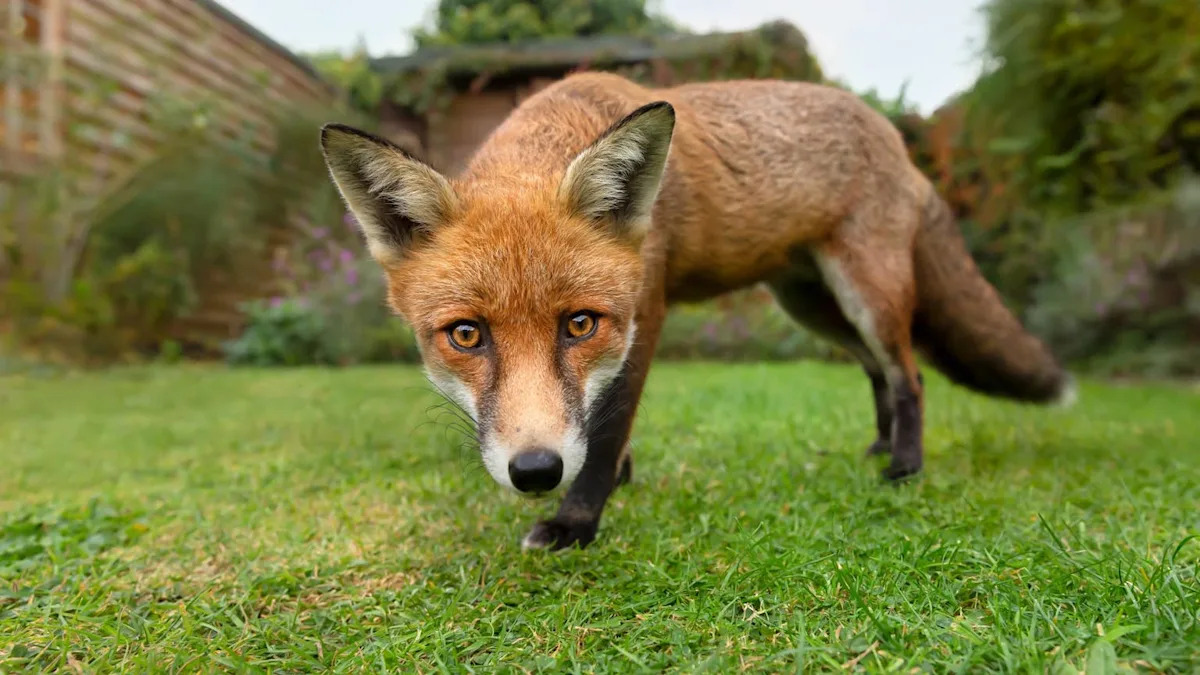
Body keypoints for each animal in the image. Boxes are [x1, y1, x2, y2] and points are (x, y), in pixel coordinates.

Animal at [319, 71, 1075, 551]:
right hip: (814, 306)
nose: (536, 472)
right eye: (466, 334)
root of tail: (897, 140)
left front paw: (577, 520)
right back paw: (882, 444)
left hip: (867, 294)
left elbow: (607, 426)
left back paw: (905, 467)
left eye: (579, 324)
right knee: (878, 371)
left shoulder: (642, 317)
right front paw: (608, 482)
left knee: (910, 373)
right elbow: (600, 425)